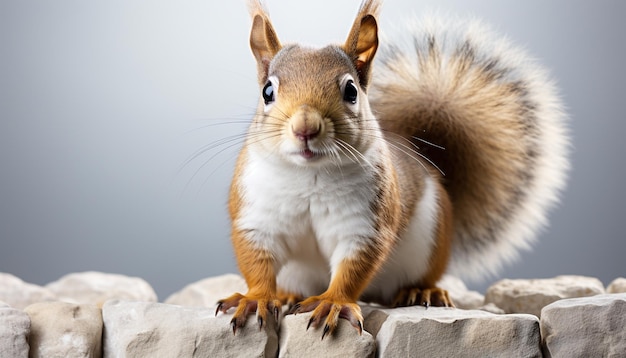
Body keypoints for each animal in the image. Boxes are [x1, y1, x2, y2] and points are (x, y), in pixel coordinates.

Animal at [213, 0, 564, 338]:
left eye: (351, 91)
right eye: (267, 91)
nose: (305, 128)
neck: (309, 175)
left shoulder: (366, 223)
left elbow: (353, 267)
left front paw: (333, 303)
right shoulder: (256, 216)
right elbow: (256, 261)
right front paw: (256, 298)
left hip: (429, 243)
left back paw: (422, 291)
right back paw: (287, 295)